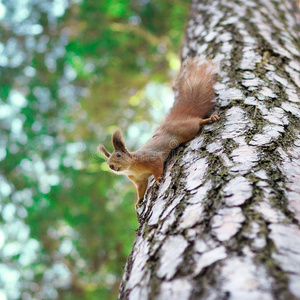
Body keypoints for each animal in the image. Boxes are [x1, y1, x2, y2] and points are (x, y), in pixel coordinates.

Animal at [99, 57, 219, 210]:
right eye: (107, 161)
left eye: (118, 155)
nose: (111, 166)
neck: (132, 167)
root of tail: (176, 119)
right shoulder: (139, 180)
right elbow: (141, 189)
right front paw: (138, 202)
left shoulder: (150, 158)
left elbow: (157, 167)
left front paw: (157, 180)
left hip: (187, 129)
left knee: (197, 121)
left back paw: (209, 119)